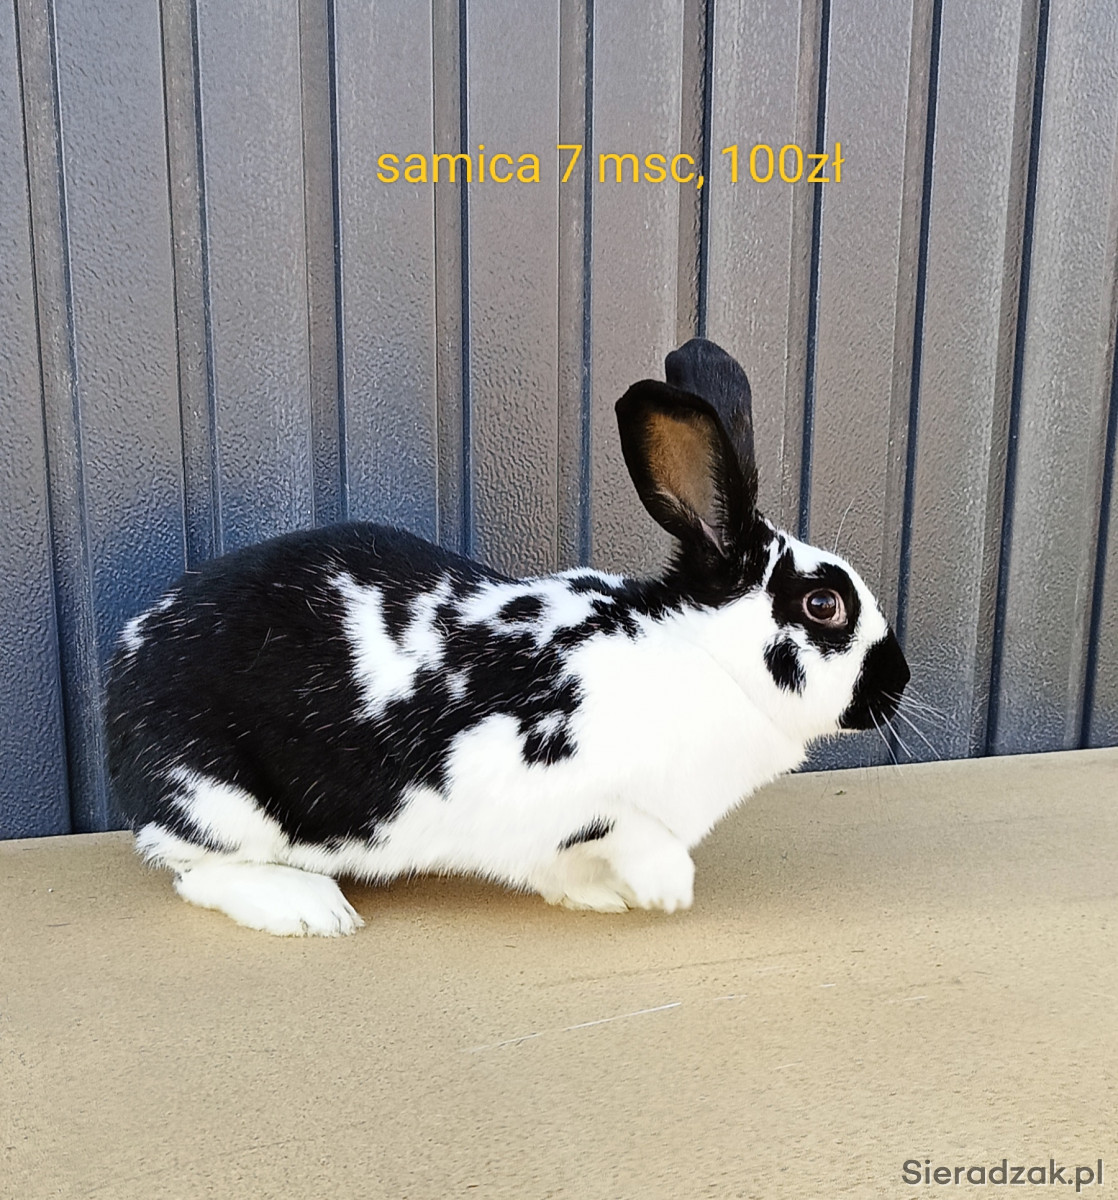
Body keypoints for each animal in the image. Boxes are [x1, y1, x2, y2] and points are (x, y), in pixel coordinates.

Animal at [105, 338, 910, 936]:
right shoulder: (531, 772)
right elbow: (627, 828)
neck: (702, 655)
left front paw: (602, 896)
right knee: (200, 873)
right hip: (220, 802)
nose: (897, 683)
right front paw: (666, 888)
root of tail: (119, 684)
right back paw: (311, 911)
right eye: (824, 604)